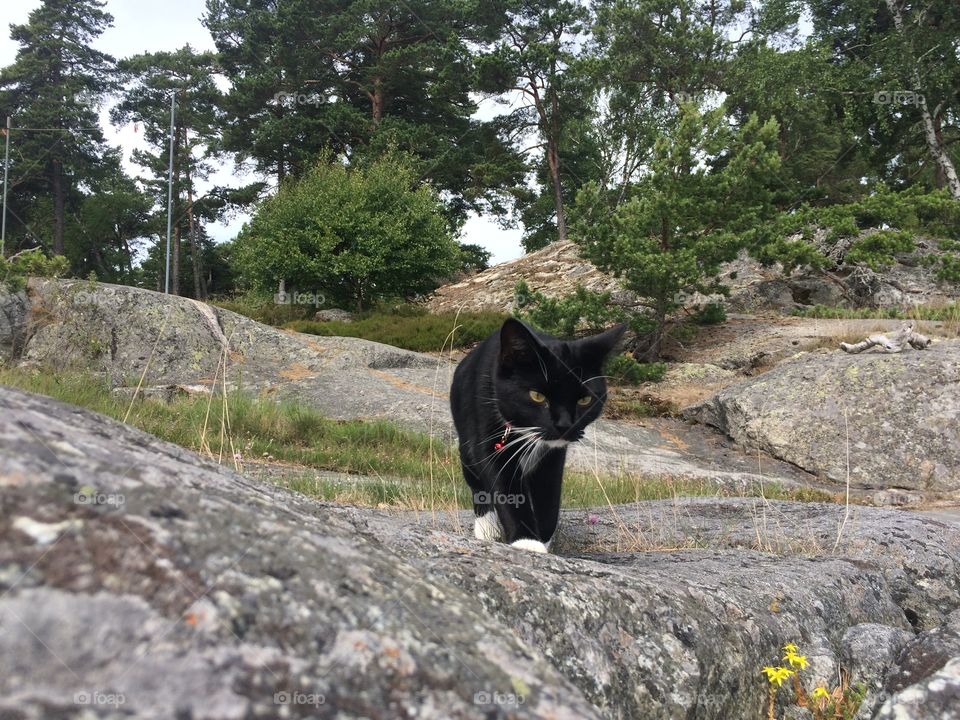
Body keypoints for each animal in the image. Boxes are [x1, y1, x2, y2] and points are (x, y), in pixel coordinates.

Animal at [452, 318, 628, 556]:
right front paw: (527, 541)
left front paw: (543, 538)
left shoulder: (553, 454)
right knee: (476, 481)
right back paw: (487, 527)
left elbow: (549, 495)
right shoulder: (489, 436)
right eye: (537, 396)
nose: (565, 424)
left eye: (584, 399)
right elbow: (505, 488)